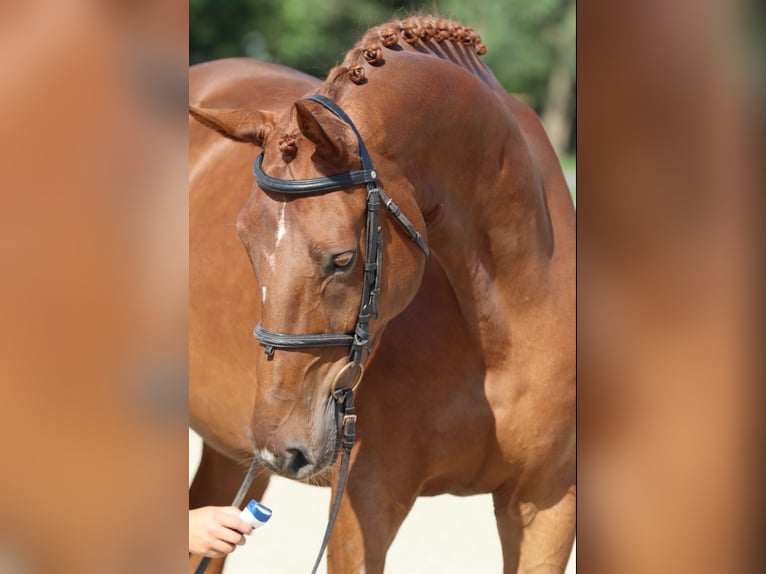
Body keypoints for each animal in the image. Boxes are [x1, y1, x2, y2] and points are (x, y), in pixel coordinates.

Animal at [190, 16, 576, 574]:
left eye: (343, 258)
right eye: (245, 244)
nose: (282, 447)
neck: (510, 320)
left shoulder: (548, 502)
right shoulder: (363, 502)